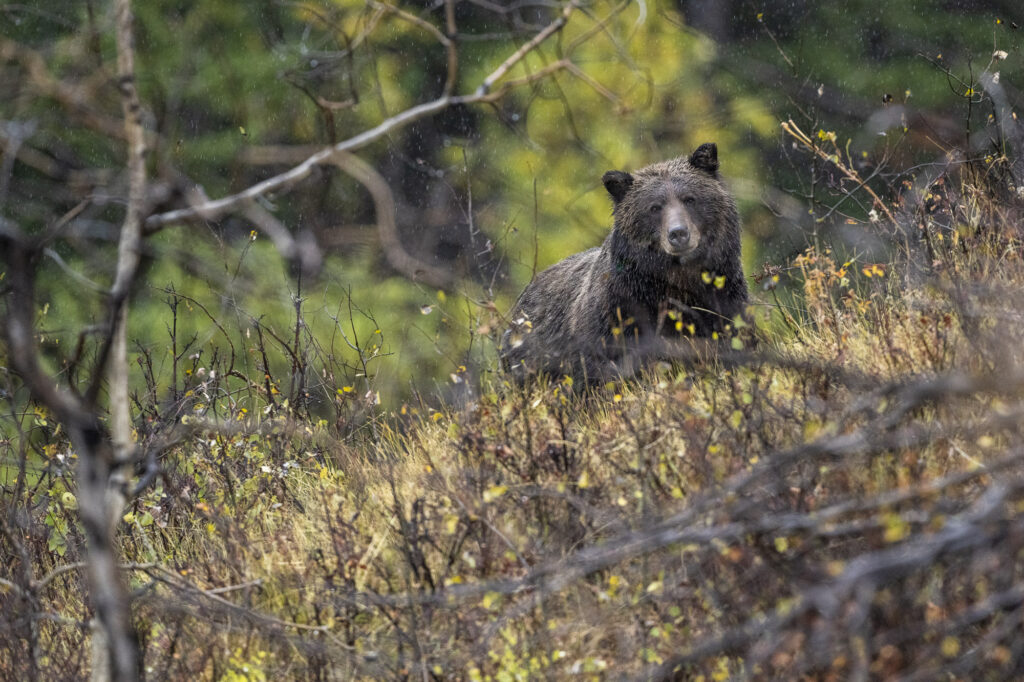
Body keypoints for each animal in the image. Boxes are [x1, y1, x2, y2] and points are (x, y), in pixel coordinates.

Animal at [500, 143, 748, 382]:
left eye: (689, 198)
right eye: (654, 207)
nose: (678, 233)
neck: (674, 283)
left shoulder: (723, 299)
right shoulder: (616, 315)